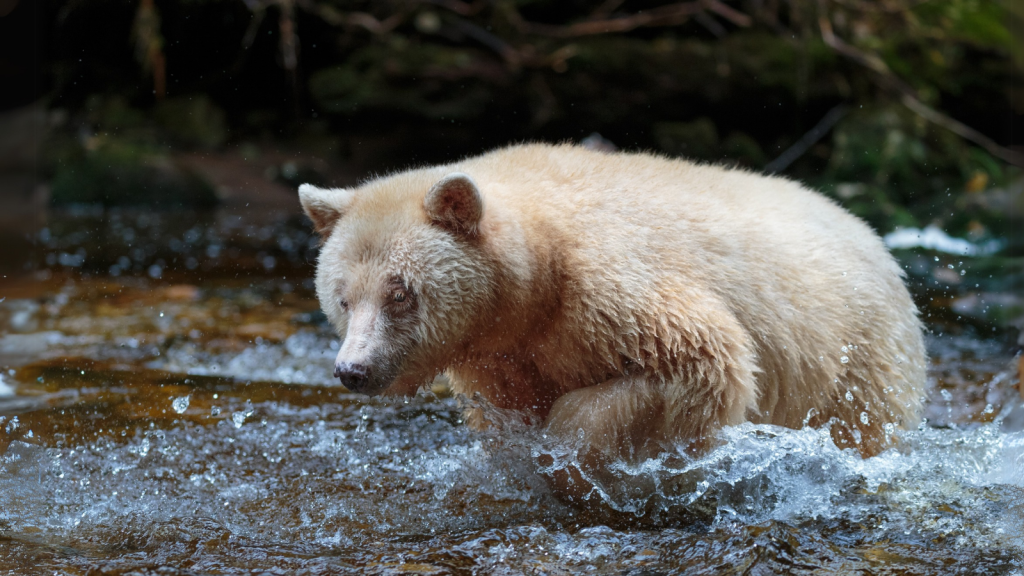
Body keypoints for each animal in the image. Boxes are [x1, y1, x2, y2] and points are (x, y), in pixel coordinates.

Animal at [299, 142, 929, 461]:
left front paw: (571, 450)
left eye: (400, 291)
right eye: (342, 297)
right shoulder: (500, 357)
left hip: (857, 355)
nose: (353, 369)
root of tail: (873, 237)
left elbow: (704, 360)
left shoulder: (610, 290)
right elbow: (510, 413)